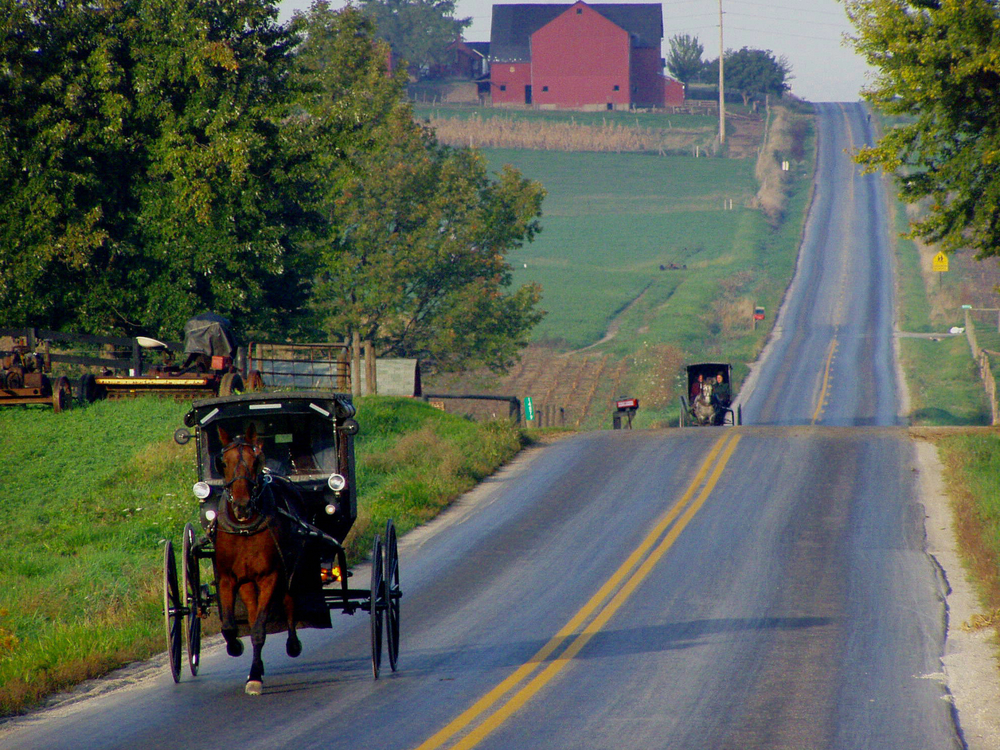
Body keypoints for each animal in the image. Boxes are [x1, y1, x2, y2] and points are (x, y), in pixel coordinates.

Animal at [215, 426, 300, 696]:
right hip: (248, 583)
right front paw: (235, 647)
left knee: (289, 601)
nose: (242, 506)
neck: (244, 528)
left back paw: (293, 643)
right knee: (252, 616)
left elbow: (260, 629)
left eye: (256, 462)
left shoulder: (270, 576)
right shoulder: (228, 578)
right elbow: (230, 626)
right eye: (224, 462)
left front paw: (254, 677)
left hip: (288, 569)